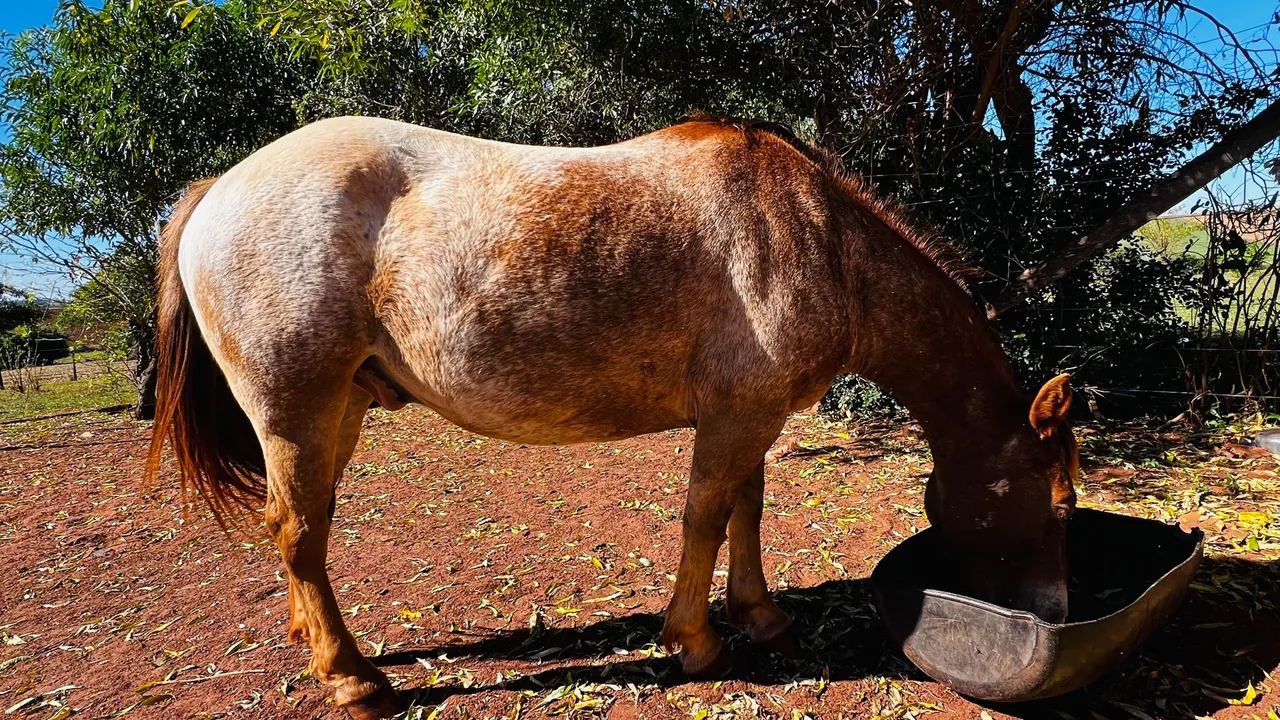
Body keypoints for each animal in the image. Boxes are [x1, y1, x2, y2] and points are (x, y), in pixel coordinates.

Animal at [147, 116, 1079, 719]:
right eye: (1059, 503)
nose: (1059, 610)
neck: (819, 240)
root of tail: (220, 188)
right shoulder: (735, 419)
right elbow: (706, 516)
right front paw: (696, 641)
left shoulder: (754, 414)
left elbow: (745, 511)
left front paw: (760, 617)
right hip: (297, 410)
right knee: (301, 530)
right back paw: (352, 680)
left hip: (339, 408)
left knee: (299, 530)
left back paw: (316, 638)